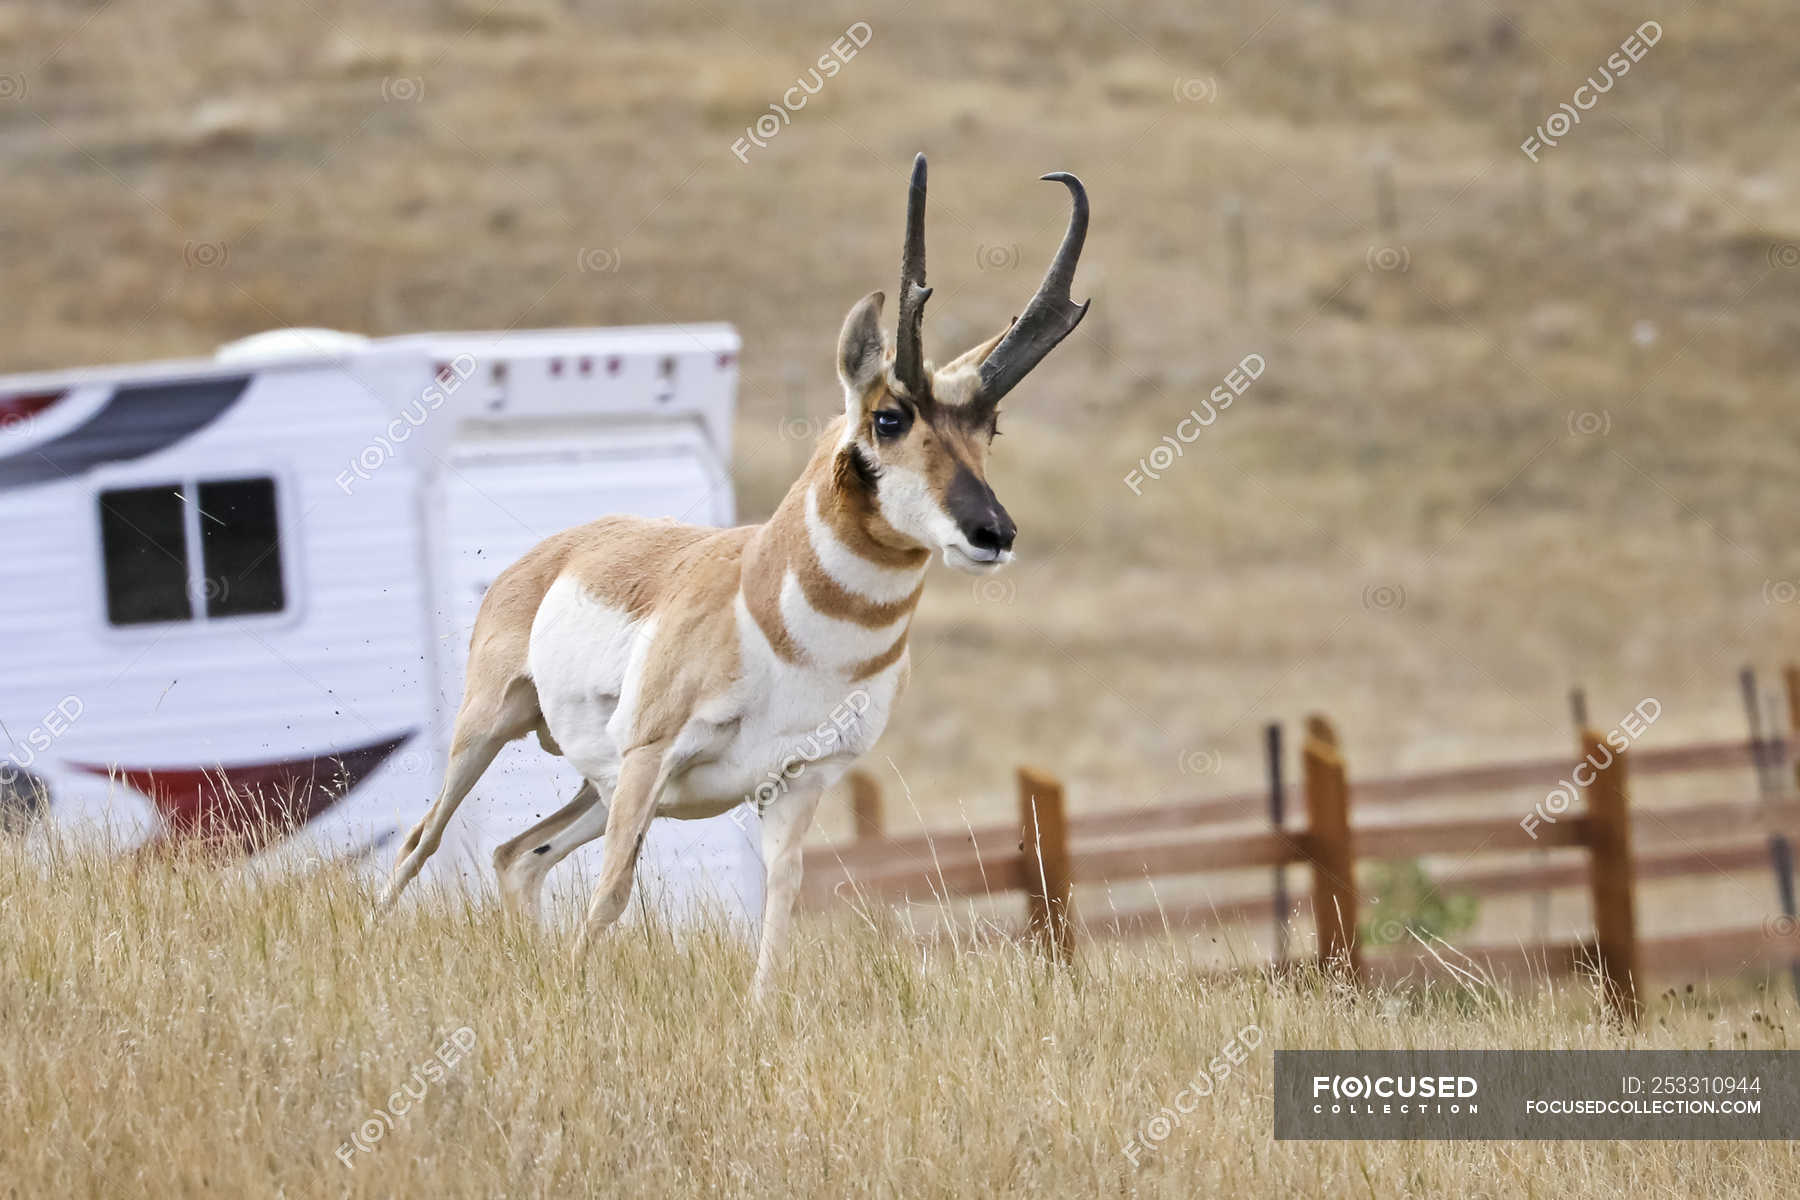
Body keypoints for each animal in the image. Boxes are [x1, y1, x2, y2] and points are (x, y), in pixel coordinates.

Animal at [372, 154, 1087, 1000]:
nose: (993, 532)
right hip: (494, 729)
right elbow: (612, 892)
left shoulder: (795, 784)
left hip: (595, 785)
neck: (782, 625)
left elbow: (779, 907)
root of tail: (556, 551)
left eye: (989, 426)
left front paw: (758, 1015)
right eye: (889, 418)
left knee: (517, 855)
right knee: (422, 839)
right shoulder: (652, 758)